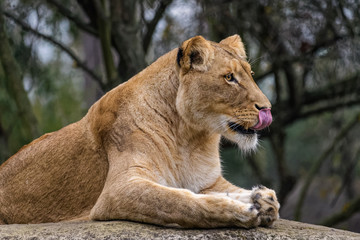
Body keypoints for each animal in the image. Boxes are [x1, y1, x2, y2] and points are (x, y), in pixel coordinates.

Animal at [0, 34, 278, 228]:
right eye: (229, 77)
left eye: (251, 74)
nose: (267, 108)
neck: (189, 137)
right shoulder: (117, 191)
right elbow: (179, 201)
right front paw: (240, 211)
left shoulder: (209, 182)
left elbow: (228, 191)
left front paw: (262, 199)